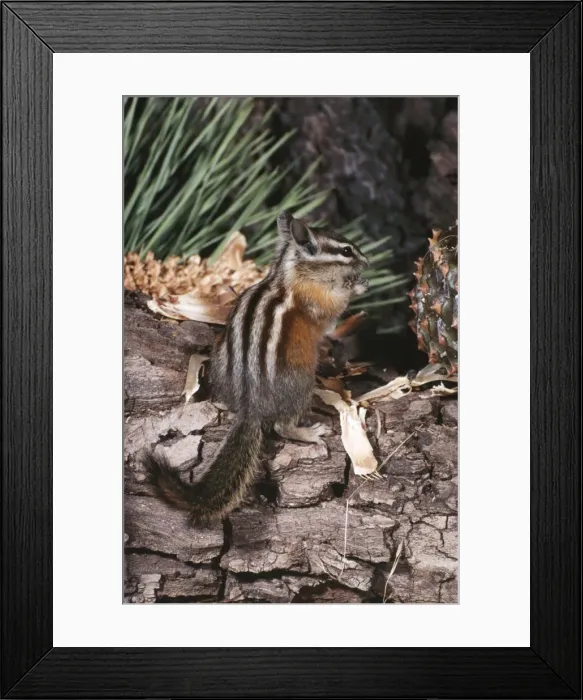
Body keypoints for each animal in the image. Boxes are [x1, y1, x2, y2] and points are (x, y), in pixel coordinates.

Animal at [144, 211, 369, 523]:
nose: (367, 262)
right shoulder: (319, 301)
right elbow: (334, 309)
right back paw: (310, 433)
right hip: (302, 383)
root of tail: (251, 407)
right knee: (282, 426)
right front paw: (358, 285)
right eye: (346, 251)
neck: (289, 274)